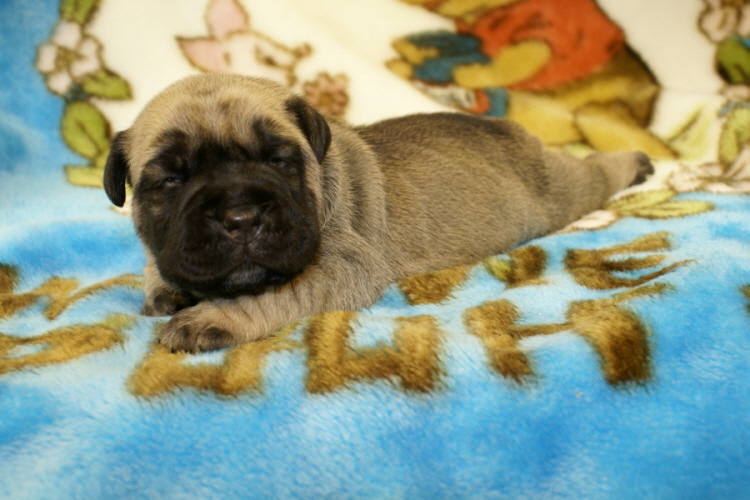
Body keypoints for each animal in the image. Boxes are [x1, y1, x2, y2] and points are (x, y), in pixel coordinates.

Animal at [104, 74, 653, 352]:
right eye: (172, 180)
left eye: (278, 160)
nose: (240, 216)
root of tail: (502, 126)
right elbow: (159, 262)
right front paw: (164, 288)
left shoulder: (342, 265)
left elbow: (273, 292)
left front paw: (214, 317)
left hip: (561, 190)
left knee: (594, 172)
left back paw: (636, 162)